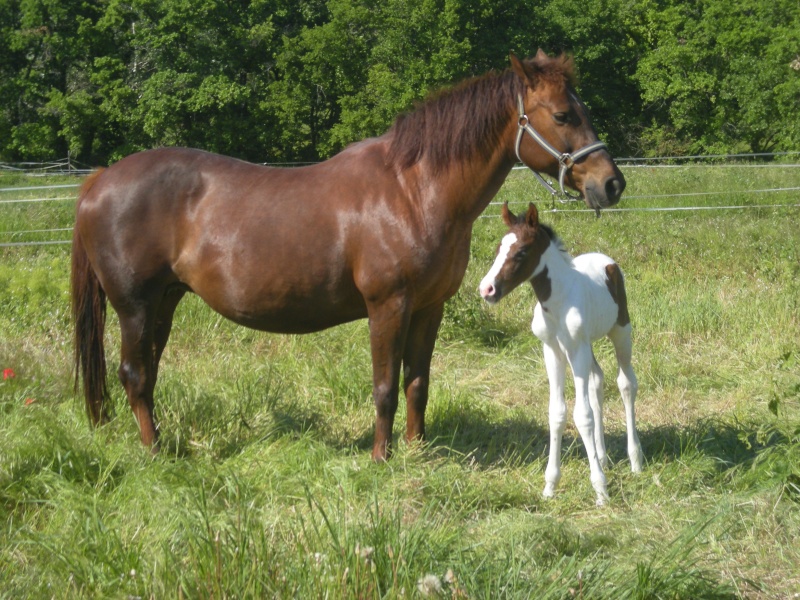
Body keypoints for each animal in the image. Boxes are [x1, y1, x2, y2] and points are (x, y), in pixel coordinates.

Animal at [72, 54, 624, 462]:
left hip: (164, 303)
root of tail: (101, 180)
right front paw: (381, 457)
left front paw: (416, 449)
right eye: (563, 115)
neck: (411, 191)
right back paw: (155, 453)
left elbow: (417, 382)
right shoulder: (388, 307)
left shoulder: (429, 308)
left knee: (147, 373)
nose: (611, 183)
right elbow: (384, 385)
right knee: (134, 374)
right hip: (135, 307)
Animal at [482, 204, 644, 504]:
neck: (556, 302)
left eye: (521, 252)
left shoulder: (576, 350)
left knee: (626, 383)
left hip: (620, 331)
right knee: (597, 380)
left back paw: (635, 461)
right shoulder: (553, 351)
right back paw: (602, 456)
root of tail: (606, 260)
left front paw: (600, 490)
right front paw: (550, 486)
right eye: (499, 247)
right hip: (586, 345)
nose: (486, 289)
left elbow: (583, 415)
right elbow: (556, 413)